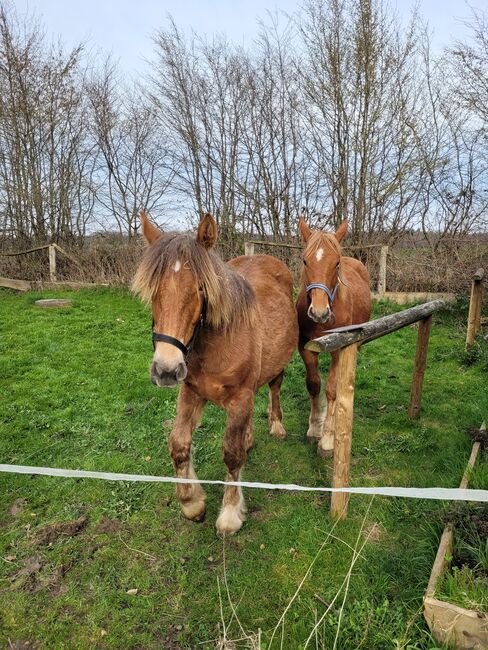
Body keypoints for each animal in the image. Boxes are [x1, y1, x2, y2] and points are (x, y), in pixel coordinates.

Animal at [132, 211, 298, 532]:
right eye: (154, 290)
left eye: (200, 288)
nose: (166, 369)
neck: (217, 343)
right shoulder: (191, 393)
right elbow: (179, 444)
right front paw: (192, 503)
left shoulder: (239, 398)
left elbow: (232, 455)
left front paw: (231, 514)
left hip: (277, 366)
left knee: (274, 387)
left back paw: (276, 426)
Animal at [296, 216, 372, 456]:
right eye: (305, 261)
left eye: (336, 263)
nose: (319, 312)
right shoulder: (305, 346)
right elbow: (313, 384)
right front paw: (314, 428)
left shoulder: (338, 349)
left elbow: (331, 389)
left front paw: (328, 438)